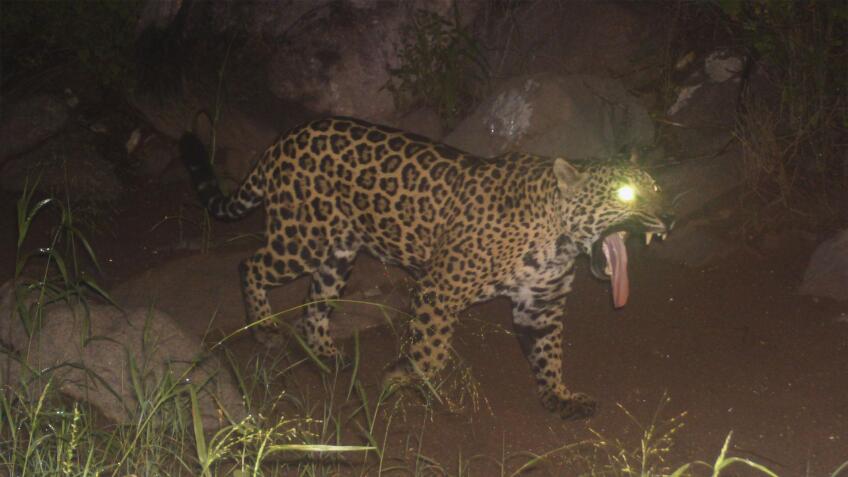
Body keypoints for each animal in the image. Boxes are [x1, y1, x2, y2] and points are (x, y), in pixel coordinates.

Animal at [180, 116, 673, 419]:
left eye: (655, 189)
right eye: (626, 195)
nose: (668, 220)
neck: (558, 240)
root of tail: (288, 136)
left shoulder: (541, 305)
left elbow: (549, 354)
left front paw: (559, 396)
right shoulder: (439, 289)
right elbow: (433, 351)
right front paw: (403, 380)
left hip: (338, 252)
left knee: (314, 302)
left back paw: (325, 355)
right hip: (302, 238)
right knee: (250, 264)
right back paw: (264, 329)